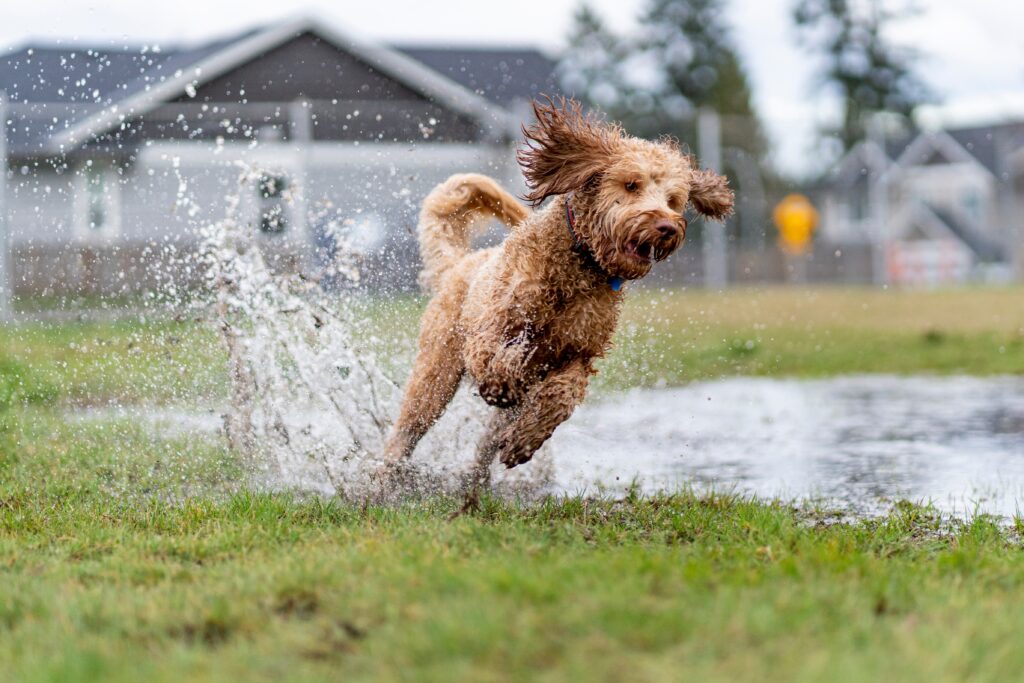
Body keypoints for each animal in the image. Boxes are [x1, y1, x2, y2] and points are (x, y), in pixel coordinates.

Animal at [380, 96, 733, 491]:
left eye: (673, 199)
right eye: (631, 185)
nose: (667, 226)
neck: (578, 268)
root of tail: (459, 265)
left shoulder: (579, 353)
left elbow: (563, 396)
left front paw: (526, 439)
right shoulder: (490, 328)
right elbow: (494, 355)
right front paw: (503, 374)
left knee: (486, 445)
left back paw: (477, 480)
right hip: (435, 375)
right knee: (405, 432)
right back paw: (381, 482)